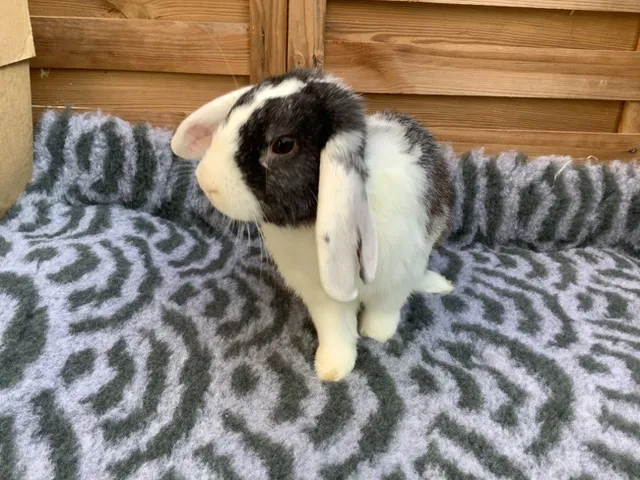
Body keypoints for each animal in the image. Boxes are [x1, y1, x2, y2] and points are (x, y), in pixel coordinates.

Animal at [171, 68, 454, 381]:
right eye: (231, 115)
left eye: (282, 145)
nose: (206, 181)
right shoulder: (324, 299)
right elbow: (335, 331)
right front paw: (332, 370)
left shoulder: (396, 279)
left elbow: (384, 311)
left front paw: (376, 335)